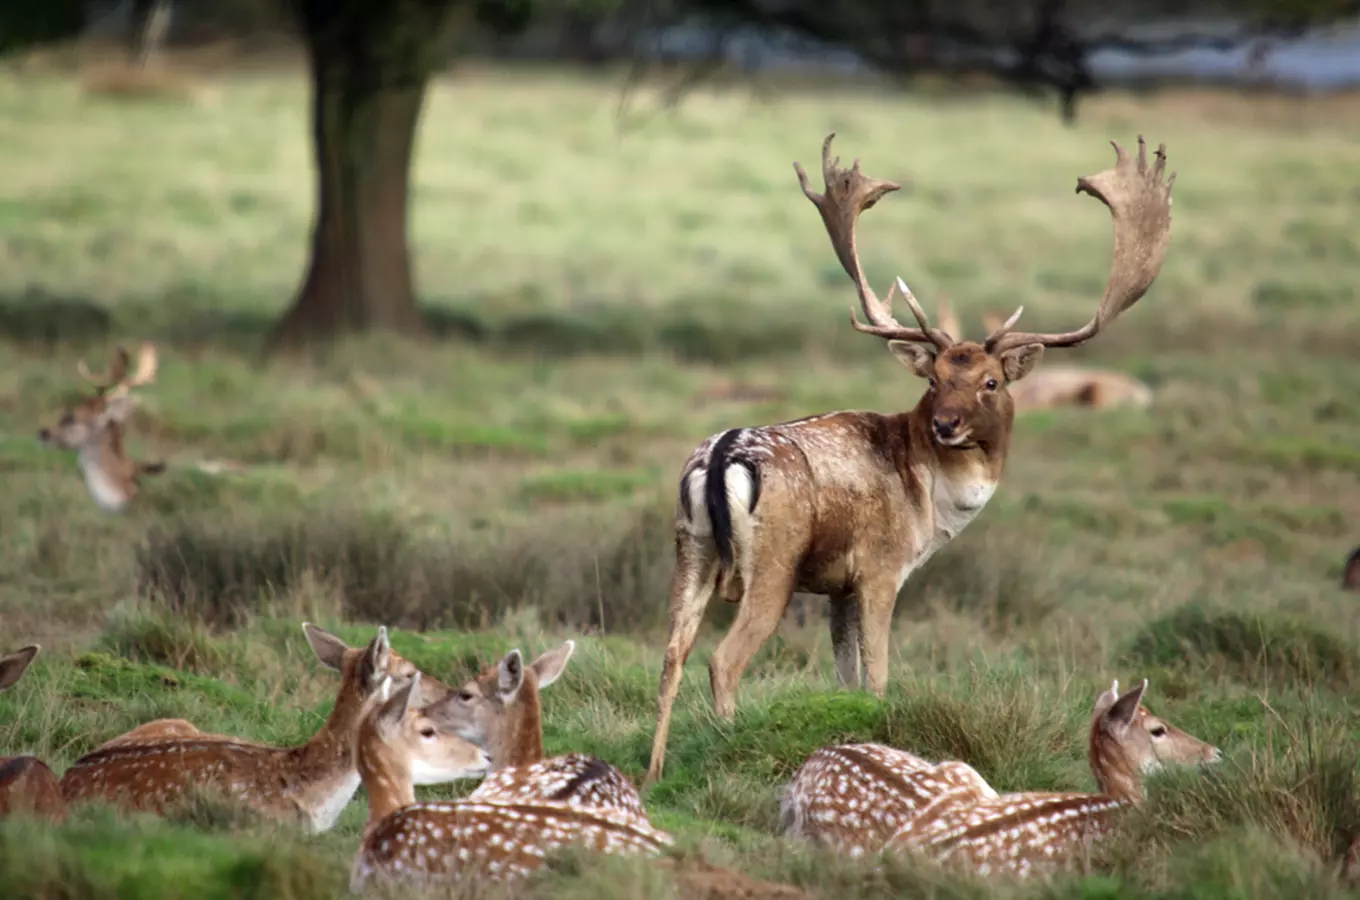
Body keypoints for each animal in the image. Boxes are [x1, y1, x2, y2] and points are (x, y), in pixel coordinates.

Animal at [641, 130, 1175, 788]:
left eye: (990, 382)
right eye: (935, 378)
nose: (946, 424)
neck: (932, 504)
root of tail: (721, 456)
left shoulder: (837, 587)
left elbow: (846, 678)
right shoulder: (879, 567)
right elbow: (877, 678)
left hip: (689, 547)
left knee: (671, 653)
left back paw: (654, 773)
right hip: (773, 563)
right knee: (723, 658)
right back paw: (727, 747)